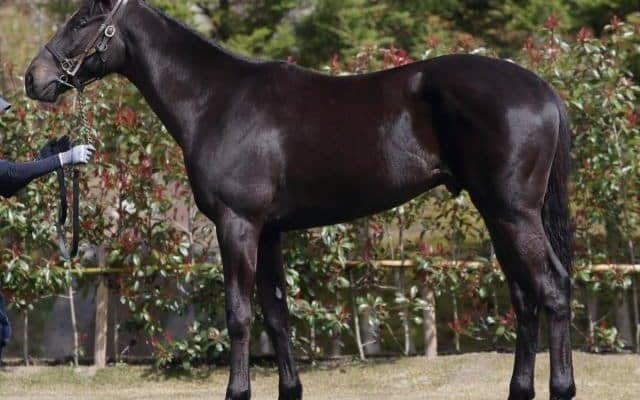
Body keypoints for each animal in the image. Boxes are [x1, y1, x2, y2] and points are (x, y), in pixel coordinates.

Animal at [25, 1, 576, 399]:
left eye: (82, 20)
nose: (34, 78)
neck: (216, 101)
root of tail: (543, 91)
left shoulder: (238, 224)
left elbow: (239, 314)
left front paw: (237, 391)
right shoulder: (269, 231)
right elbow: (276, 314)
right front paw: (289, 389)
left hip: (512, 213)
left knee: (551, 288)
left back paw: (562, 388)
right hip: (497, 214)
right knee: (525, 296)